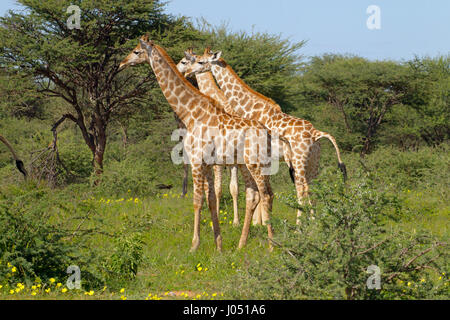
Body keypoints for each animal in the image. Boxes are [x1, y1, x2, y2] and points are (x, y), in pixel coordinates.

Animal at [118, 37, 276, 250]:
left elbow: (197, 201)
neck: (189, 113)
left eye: (136, 51)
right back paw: (241, 244)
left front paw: (194, 245)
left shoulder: (196, 160)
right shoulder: (207, 164)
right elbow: (211, 200)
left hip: (254, 163)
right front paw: (219, 245)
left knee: (265, 195)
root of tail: (267, 134)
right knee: (259, 194)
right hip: (251, 164)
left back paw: (271, 246)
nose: (121, 63)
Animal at [185, 49, 346, 225]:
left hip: (298, 160)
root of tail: (316, 133)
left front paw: (257, 222)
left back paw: (300, 225)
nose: (187, 73)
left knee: (302, 189)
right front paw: (260, 221)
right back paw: (314, 222)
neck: (247, 107)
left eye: (200, 61)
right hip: (312, 163)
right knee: (312, 188)